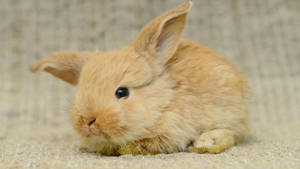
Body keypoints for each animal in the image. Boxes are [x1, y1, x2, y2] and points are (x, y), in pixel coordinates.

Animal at [30, 1, 251, 155]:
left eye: (122, 92)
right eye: (80, 92)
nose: (87, 120)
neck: (163, 101)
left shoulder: (171, 131)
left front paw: (125, 150)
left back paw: (205, 144)